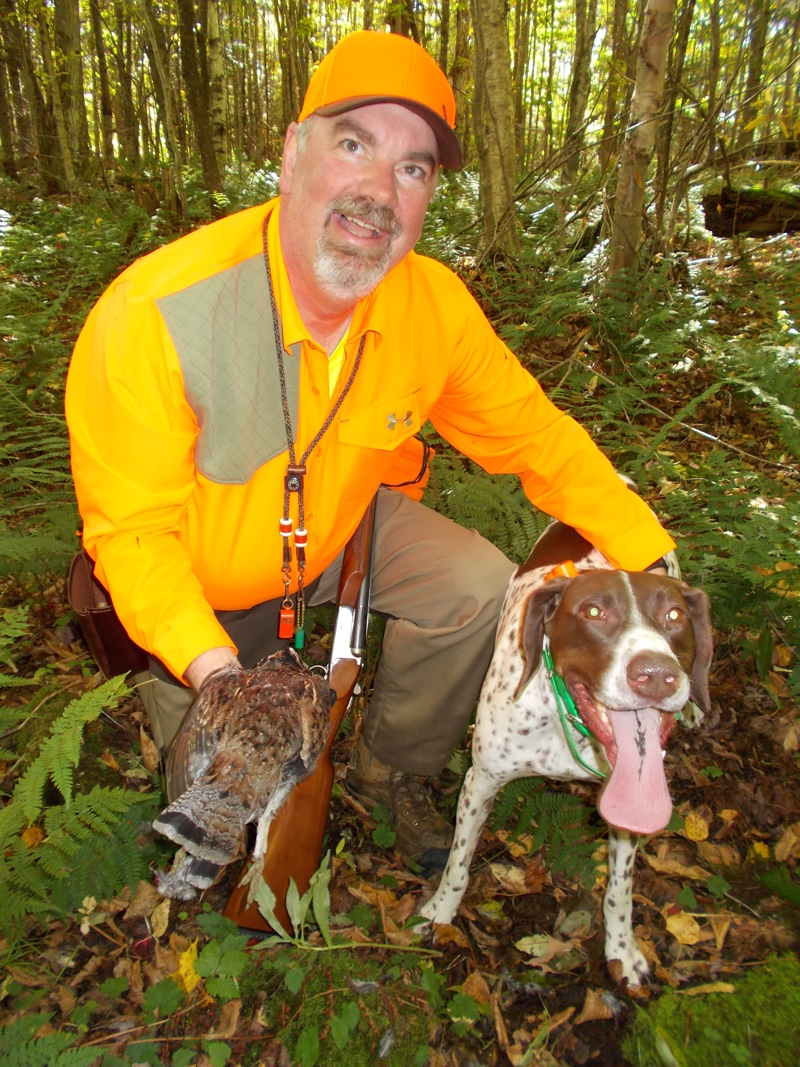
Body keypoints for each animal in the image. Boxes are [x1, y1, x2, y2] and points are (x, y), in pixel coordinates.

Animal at [420, 520, 712, 985]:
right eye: (592, 613)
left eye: (674, 616)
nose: (656, 674)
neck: (567, 724)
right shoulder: (480, 782)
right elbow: (458, 864)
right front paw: (439, 913)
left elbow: (619, 890)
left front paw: (622, 949)